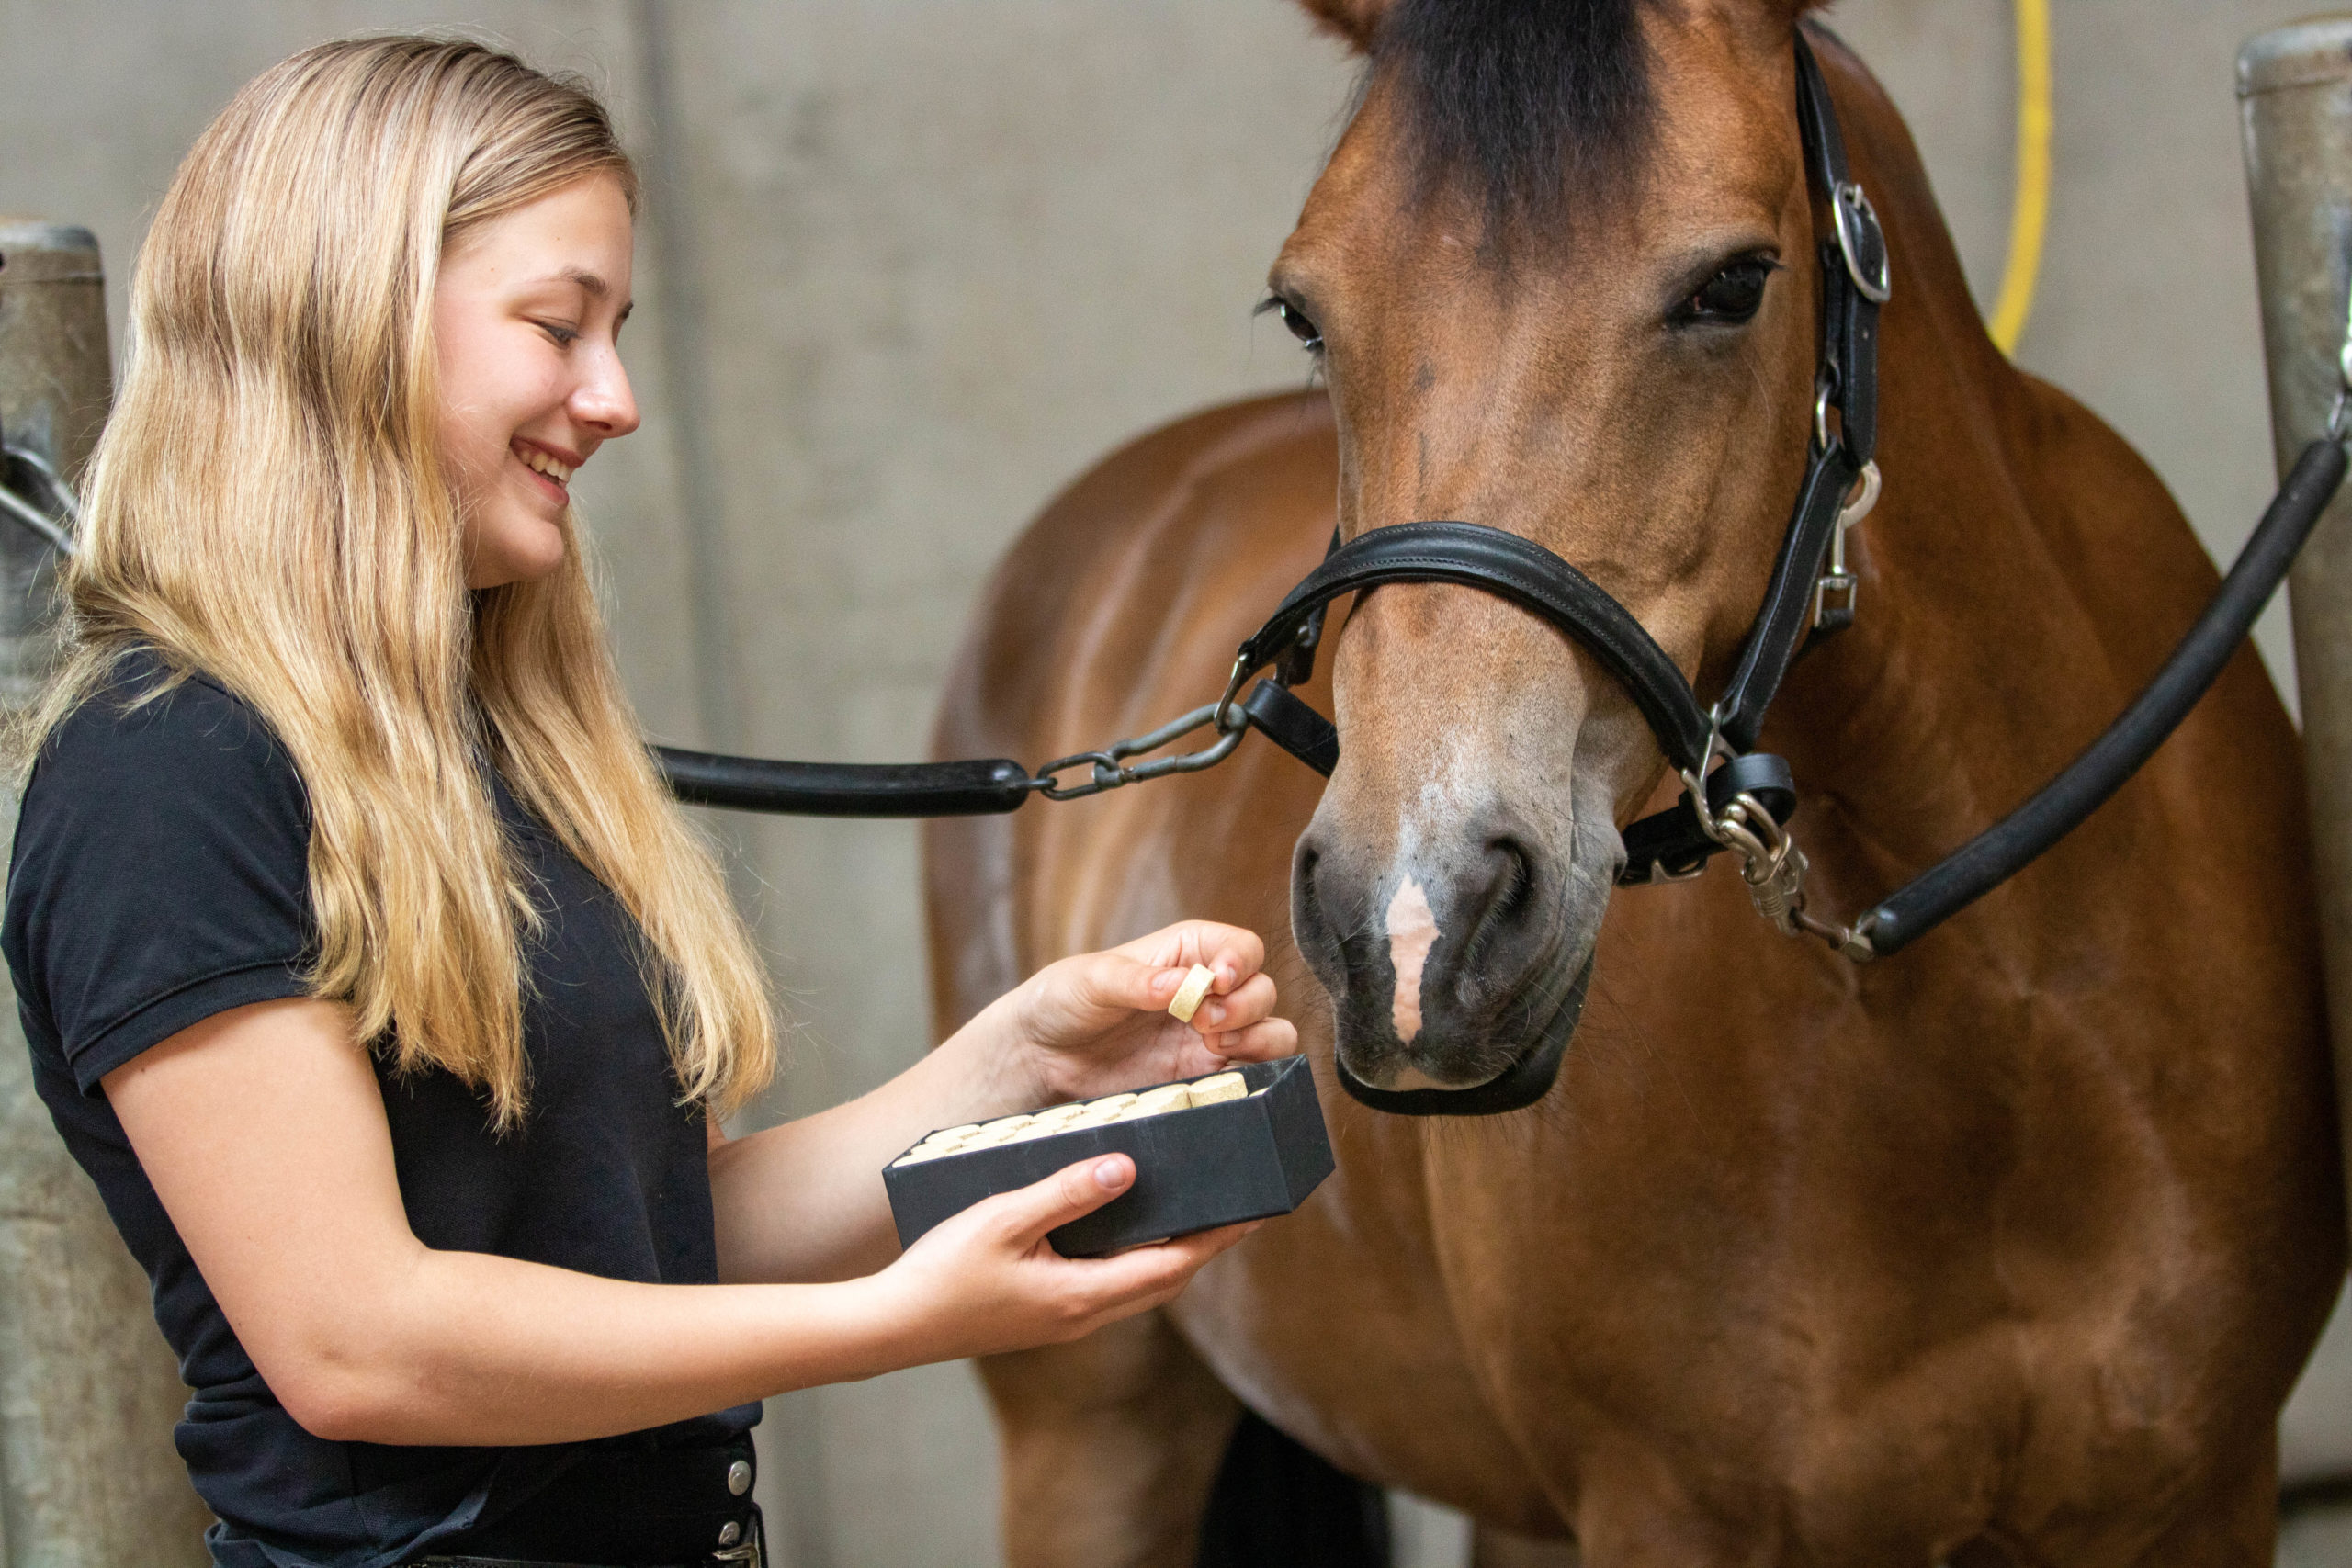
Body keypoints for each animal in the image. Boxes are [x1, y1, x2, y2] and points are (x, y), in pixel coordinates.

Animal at [924, 0, 2345, 1561]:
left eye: (1733, 284)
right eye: (1304, 310)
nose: (1410, 927)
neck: (1994, 1020)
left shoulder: (2201, 1495)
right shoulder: (1666, 1511)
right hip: (1094, 1432)